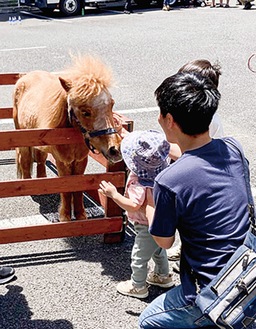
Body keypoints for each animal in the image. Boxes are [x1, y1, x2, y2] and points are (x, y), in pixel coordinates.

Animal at [12, 55, 122, 222]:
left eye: (112, 104)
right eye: (85, 112)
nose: (114, 149)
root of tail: (25, 77)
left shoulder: (81, 161)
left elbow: (77, 187)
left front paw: (81, 216)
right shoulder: (62, 161)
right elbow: (66, 188)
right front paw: (65, 217)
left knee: (40, 158)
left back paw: (42, 180)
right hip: (22, 134)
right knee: (24, 159)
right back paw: (29, 183)